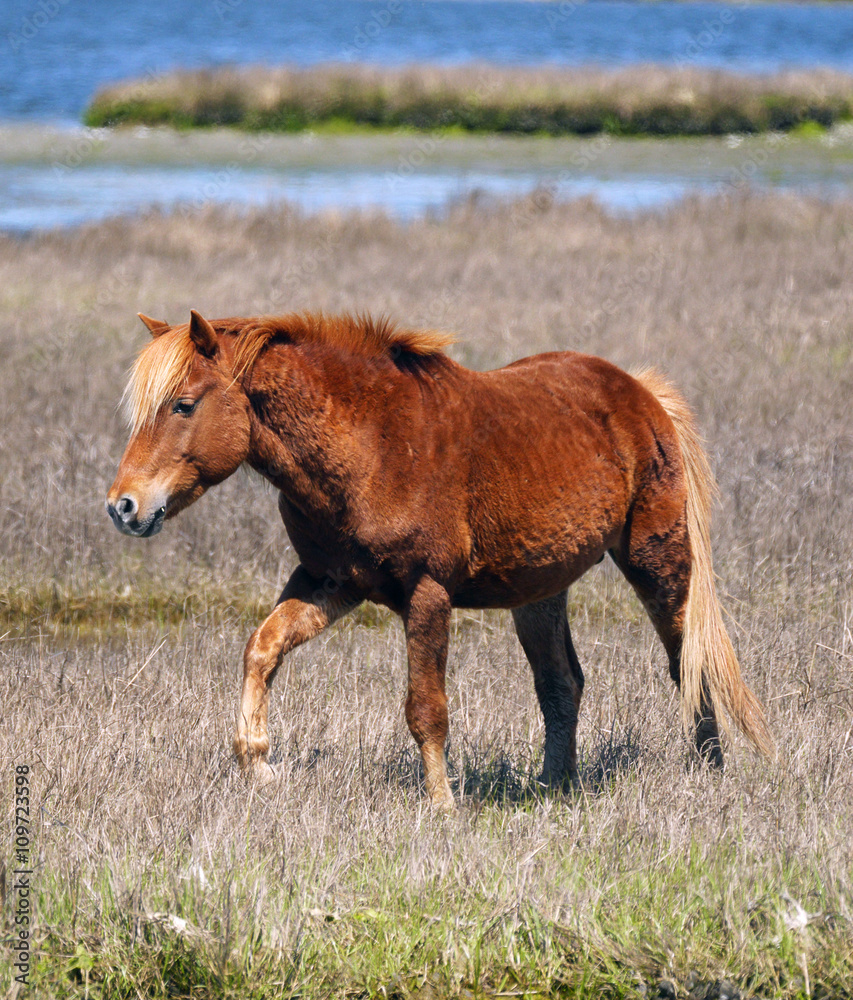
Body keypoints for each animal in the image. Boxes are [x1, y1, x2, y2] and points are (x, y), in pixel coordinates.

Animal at [106, 309, 774, 809]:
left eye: (184, 405)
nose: (123, 506)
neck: (369, 443)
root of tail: (639, 392)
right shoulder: (328, 583)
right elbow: (262, 649)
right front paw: (259, 765)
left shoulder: (427, 593)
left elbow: (426, 709)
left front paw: (442, 806)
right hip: (540, 591)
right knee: (562, 685)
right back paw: (552, 789)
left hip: (658, 565)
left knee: (689, 664)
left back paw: (709, 774)